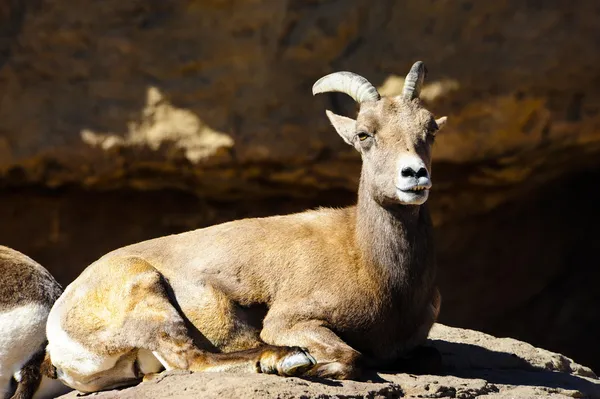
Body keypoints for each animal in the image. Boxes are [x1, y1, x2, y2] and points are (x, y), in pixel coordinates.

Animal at [45, 61, 446, 392]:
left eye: (430, 130)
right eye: (364, 134)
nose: (414, 175)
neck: (369, 262)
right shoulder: (289, 322)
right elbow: (352, 357)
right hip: (149, 293)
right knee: (191, 359)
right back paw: (286, 361)